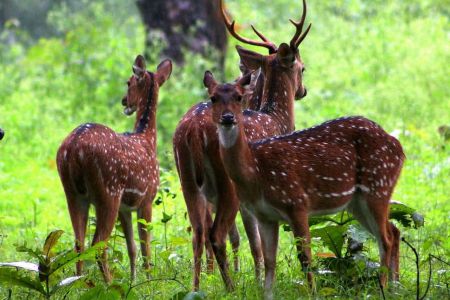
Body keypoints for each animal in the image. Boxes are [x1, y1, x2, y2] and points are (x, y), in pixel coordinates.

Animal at [56, 55, 172, 282]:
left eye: (128, 82)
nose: (124, 101)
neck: (147, 140)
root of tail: (74, 147)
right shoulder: (146, 198)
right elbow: (145, 247)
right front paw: (148, 281)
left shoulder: (125, 208)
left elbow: (132, 247)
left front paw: (134, 280)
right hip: (108, 191)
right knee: (98, 245)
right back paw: (109, 284)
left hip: (73, 193)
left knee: (79, 243)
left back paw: (78, 282)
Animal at [173, 0, 312, 290]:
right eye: (302, 67)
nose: (303, 90)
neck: (276, 118)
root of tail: (192, 131)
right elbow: (258, 242)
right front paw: (260, 282)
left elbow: (253, 242)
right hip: (228, 184)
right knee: (215, 234)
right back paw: (230, 288)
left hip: (187, 179)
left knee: (197, 233)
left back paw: (196, 288)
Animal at [207, 71, 404, 298]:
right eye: (213, 98)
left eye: (239, 97)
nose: (228, 118)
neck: (256, 172)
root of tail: (400, 148)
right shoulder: (264, 215)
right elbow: (270, 260)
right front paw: (267, 294)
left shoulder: (297, 202)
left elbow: (306, 258)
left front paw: (313, 294)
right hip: (358, 201)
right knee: (394, 231)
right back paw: (395, 286)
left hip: (378, 185)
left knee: (385, 238)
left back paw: (383, 287)